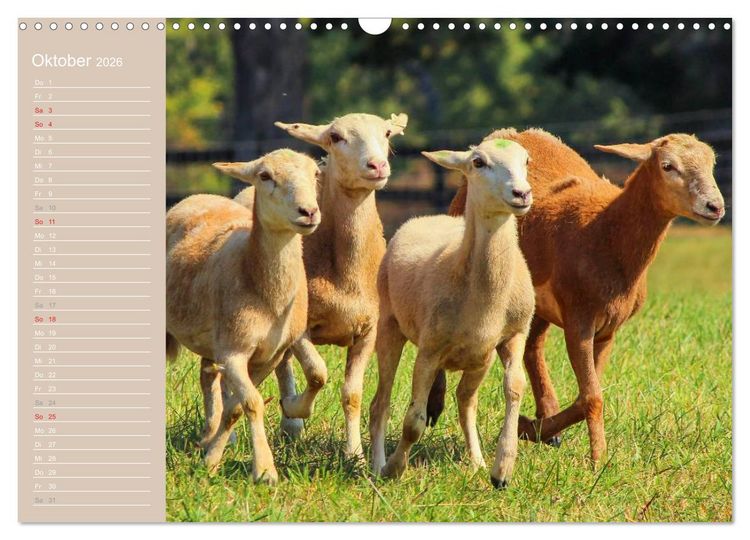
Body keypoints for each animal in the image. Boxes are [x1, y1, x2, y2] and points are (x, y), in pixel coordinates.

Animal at [165, 148, 326, 484]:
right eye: (265, 176)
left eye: (315, 174)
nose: (308, 212)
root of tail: (197, 196)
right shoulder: (234, 352)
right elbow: (252, 403)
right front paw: (264, 470)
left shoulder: (268, 356)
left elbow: (236, 407)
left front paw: (211, 459)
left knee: (207, 376)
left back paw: (208, 435)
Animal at [230, 112, 408, 458]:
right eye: (336, 137)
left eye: (386, 133)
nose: (377, 165)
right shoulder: (301, 328)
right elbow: (317, 372)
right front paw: (295, 408)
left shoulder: (369, 330)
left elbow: (352, 394)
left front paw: (355, 455)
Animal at [369, 138, 535, 488]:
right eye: (478, 162)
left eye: (526, 160)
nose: (521, 193)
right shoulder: (429, 350)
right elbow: (413, 421)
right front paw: (394, 469)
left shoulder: (515, 334)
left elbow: (515, 388)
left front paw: (502, 468)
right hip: (389, 324)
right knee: (381, 404)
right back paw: (377, 465)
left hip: (480, 358)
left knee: (465, 402)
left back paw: (477, 462)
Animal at [427, 129, 726, 465]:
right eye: (668, 166)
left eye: (712, 163)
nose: (714, 206)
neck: (606, 235)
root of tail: (512, 132)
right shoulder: (578, 319)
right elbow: (592, 396)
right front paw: (598, 460)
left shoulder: (608, 328)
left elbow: (586, 395)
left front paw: (531, 428)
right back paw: (434, 404)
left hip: (537, 304)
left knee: (533, 347)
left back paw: (546, 416)